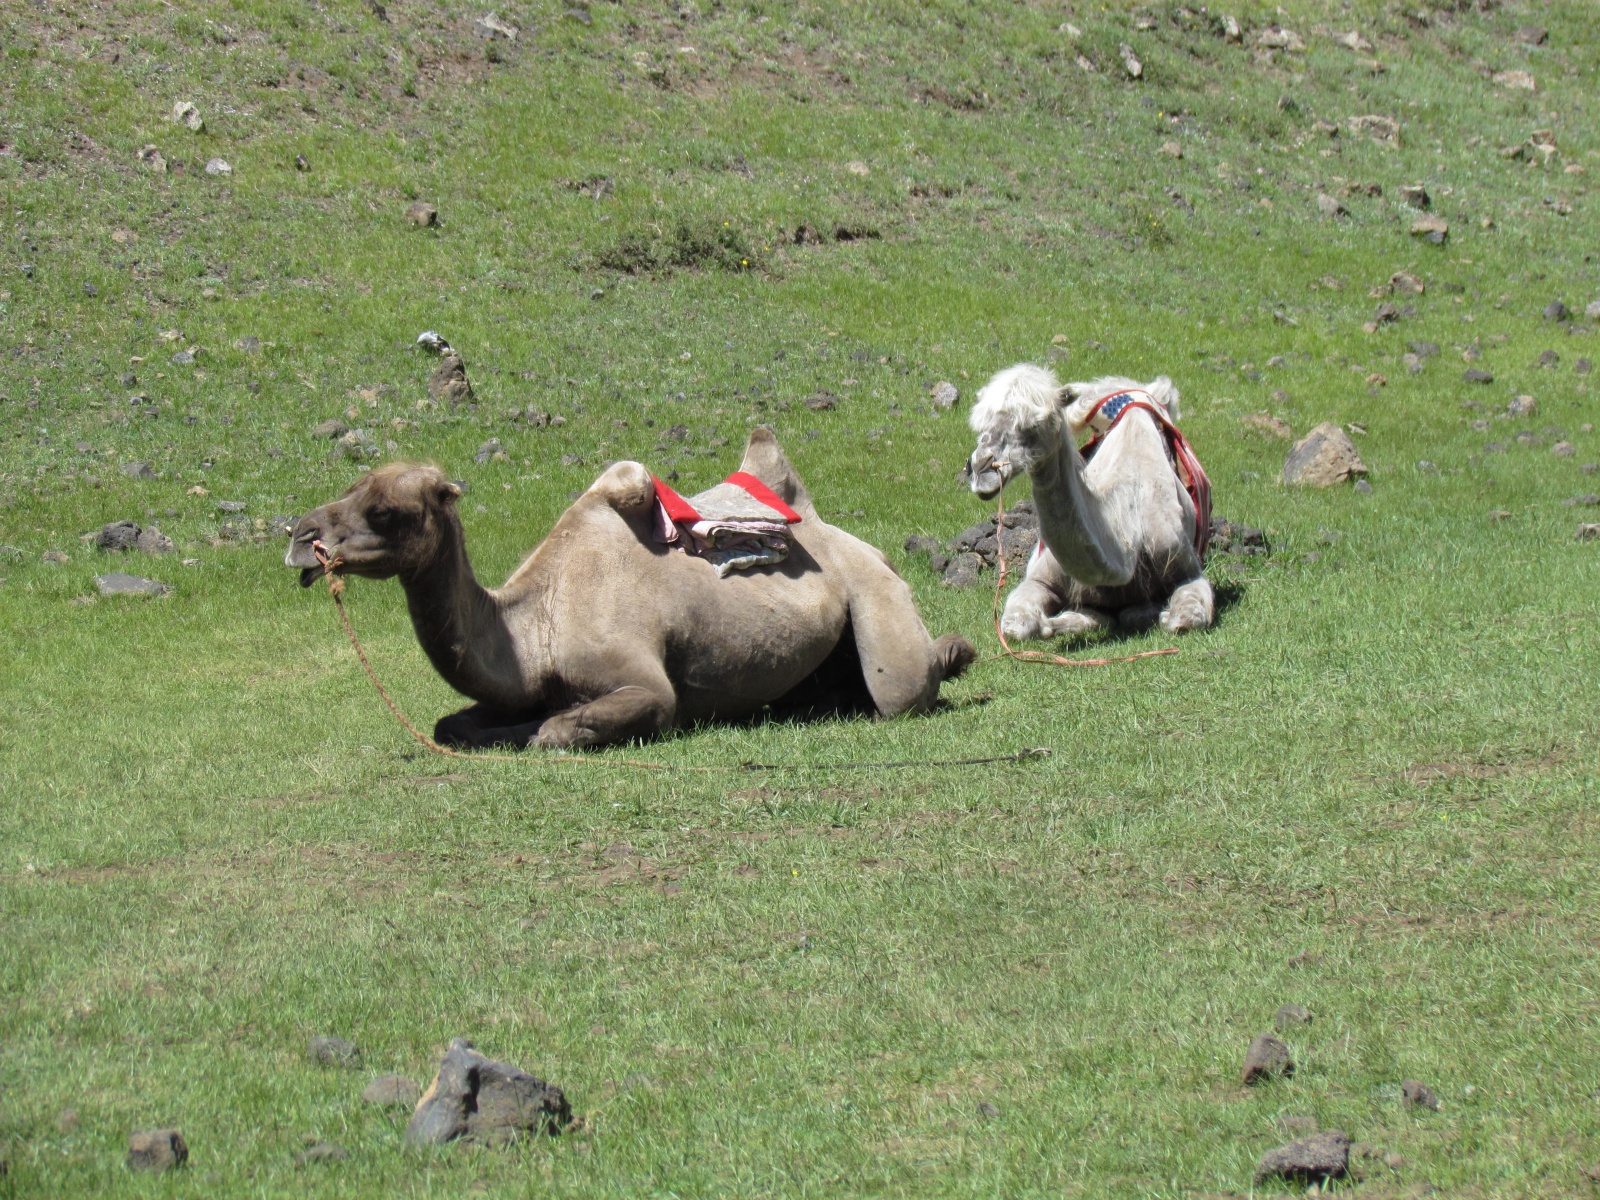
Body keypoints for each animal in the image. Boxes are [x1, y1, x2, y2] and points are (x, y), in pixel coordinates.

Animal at [286, 428, 975, 749]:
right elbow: (451, 724)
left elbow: (565, 728)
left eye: (385, 511)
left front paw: (539, 729)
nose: (299, 535)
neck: (536, 629)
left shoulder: (644, 681)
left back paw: (955, 652)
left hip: (875, 594)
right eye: (351, 488)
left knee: (899, 689)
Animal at [966, 366, 1214, 640]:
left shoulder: (1187, 569)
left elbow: (1186, 619)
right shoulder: (1039, 578)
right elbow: (1015, 626)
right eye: (981, 424)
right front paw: (1055, 624)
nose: (980, 470)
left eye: (1033, 424)